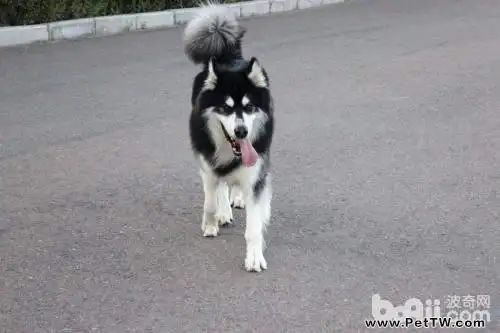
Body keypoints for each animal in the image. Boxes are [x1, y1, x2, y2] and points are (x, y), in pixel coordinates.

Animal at [183, 2, 276, 272]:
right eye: (224, 108)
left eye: (249, 107)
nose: (242, 131)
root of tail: (229, 58)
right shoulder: (207, 165)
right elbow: (210, 201)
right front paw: (211, 223)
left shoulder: (256, 172)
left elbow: (254, 224)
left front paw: (254, 256)